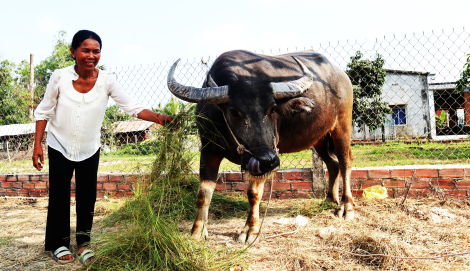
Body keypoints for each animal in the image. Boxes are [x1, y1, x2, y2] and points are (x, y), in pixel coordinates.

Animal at [167, 50, 354, 245]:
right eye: (234, 111)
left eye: (272, 109)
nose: (268, 160)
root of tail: (341, 75)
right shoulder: (209, 149)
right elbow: (203, 193)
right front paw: (197, 231)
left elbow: (253, 193)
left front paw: (250, 230)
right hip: (318, 138)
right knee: (332, 163)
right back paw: (329, 200)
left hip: (342, 125)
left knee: (345, 161)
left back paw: (346, 207)